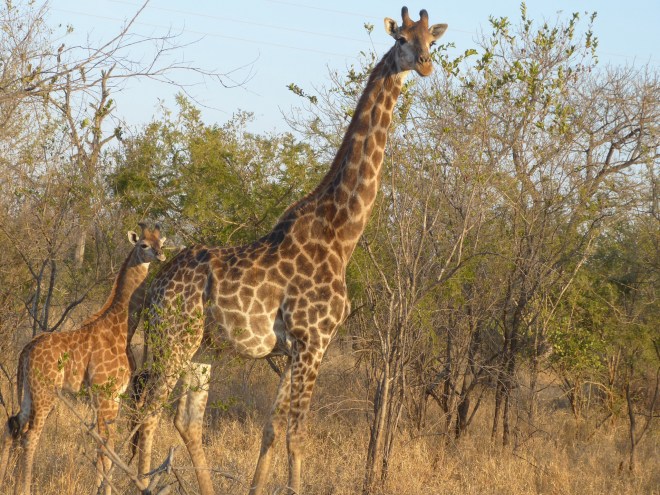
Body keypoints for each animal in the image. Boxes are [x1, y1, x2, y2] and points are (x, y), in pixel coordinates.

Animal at [0, 223, 166, 495]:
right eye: (143, 244)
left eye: (161, 242)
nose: (160, 255)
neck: (123, 328)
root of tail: (25, 351)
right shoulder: (104, 392)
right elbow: (106, 447)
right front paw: (103, 489)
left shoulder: (116, 394)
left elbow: (105, 446)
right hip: (46, 392)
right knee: (30, 435)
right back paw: (24, 488)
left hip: (26, 391)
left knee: (11, 425)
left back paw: (5, 482)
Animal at [134, 7, 447, 495]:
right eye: (401, 39)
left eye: (431, 40)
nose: (426, 64)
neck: (341, 234)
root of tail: (154, 289)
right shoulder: (312, 341)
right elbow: (296, 434)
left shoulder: (297, 348)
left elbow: (272, 427)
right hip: (174, 339)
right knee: (147, 412)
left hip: (202, 349)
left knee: (185, 421)